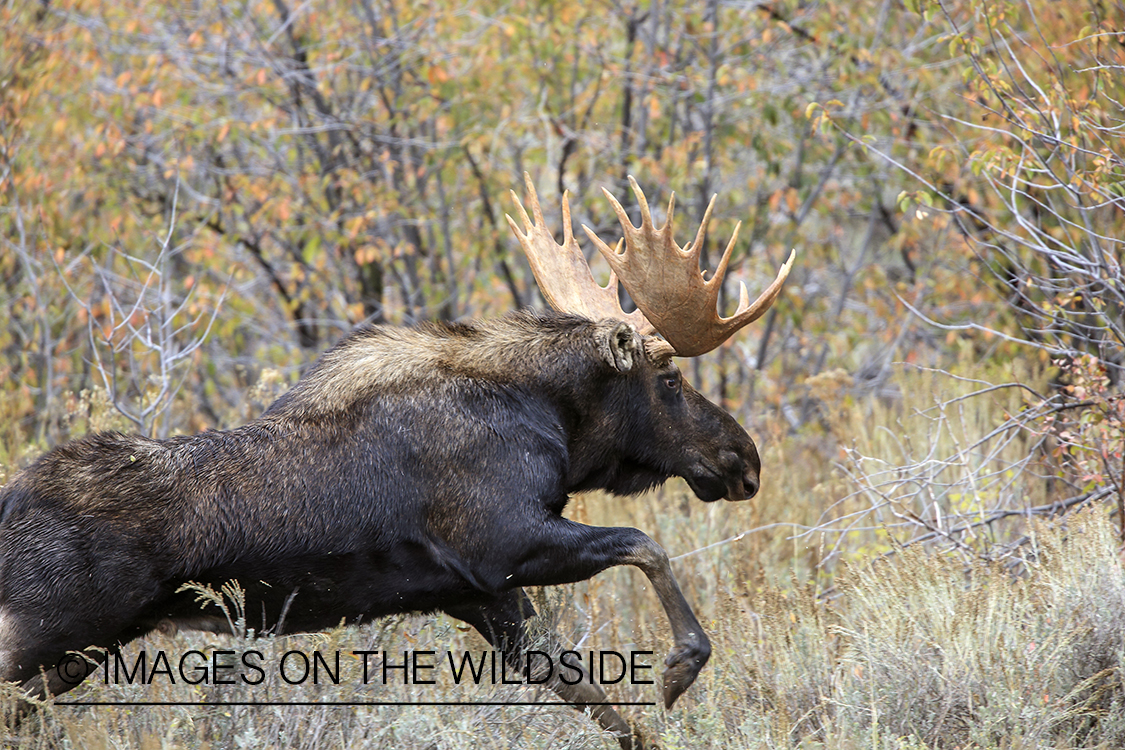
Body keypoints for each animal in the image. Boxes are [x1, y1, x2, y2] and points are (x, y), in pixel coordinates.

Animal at [0, 174, 793, 748]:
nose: (743, 459)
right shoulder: (503, 543)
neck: (553, 426)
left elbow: (587, 693)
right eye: (669, 380)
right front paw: (679, 667)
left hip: (72, 653)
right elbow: (644, 544)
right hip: (48, 632)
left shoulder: (478, 593)